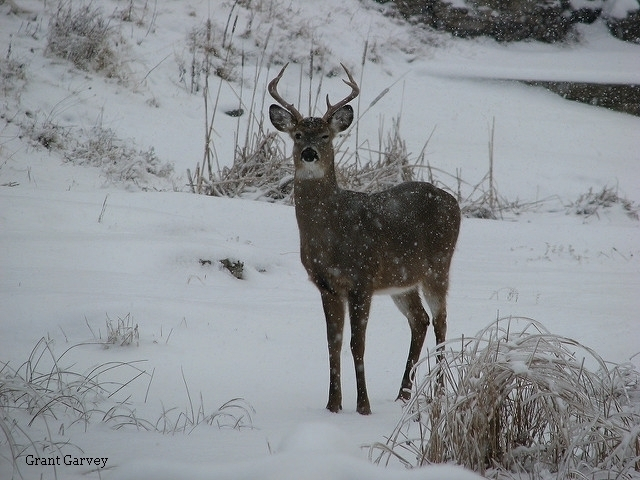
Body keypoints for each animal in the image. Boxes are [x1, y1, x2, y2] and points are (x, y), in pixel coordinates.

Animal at [268, 62, 460, 416]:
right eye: (297, 134)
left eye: (326, 136)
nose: (310, 153)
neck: (331, 234)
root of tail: (453, 201)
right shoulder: (327, 285)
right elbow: (333, 343)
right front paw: (333, 405)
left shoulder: (362, 278)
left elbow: (358, 344)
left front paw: (363, 407)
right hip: (403, 279)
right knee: (420, 320)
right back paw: (402, 395)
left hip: (438, 266)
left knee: (441, 322)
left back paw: (439, 394)